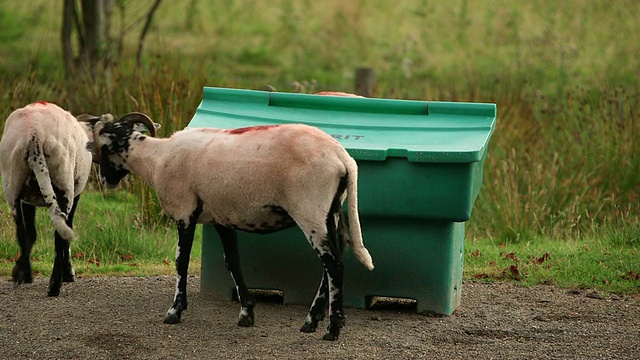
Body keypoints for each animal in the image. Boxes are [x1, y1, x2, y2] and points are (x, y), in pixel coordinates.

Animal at [0, 100, 112, 296]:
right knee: (60, 235)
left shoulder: (27, 199)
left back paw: (25, 274)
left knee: (21, 231)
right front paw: (69, 273)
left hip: (13, 183)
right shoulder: (75, 194)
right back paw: (54, 285)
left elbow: (30, 234)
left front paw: (22, 273)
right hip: (63, 182)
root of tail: (35, 136)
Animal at [95, 112, 376, 340]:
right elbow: (232, 262)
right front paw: (246, 313)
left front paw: (174, 311)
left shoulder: (184, 212)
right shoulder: (222, 218)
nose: (104, 181)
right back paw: (311, 322)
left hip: (310, 209)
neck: (155, 159)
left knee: (334, 264)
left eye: (103, 149)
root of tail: (342, 157)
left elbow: (180, 262)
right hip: (330, 211)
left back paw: (332, 329)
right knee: (332, 262)